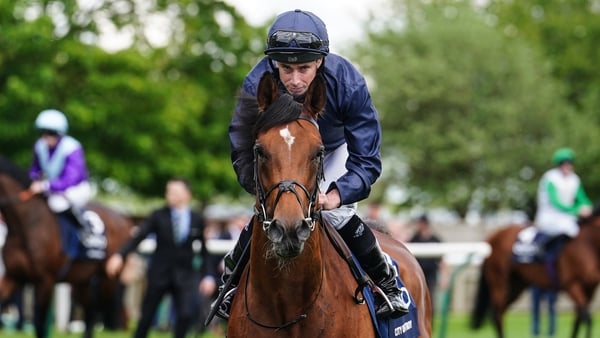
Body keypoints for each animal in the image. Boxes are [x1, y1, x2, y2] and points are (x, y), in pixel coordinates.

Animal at [0, 156, 132, 338]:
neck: (26, 224)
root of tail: (124, 220)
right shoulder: (14, 276)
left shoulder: (45, 280)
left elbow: (39, 323)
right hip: (82, 281)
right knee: (90, 310)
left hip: (109, 278)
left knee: (105, 308)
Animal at [472, 207, 600, 336]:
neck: (587, 244)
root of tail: (491, 239)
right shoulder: (571, 285)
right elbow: (588, 318)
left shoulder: (590, 288)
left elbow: (579, 319)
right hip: (500, 282)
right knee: (496, 314)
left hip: (516, 285)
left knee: (500, 312)